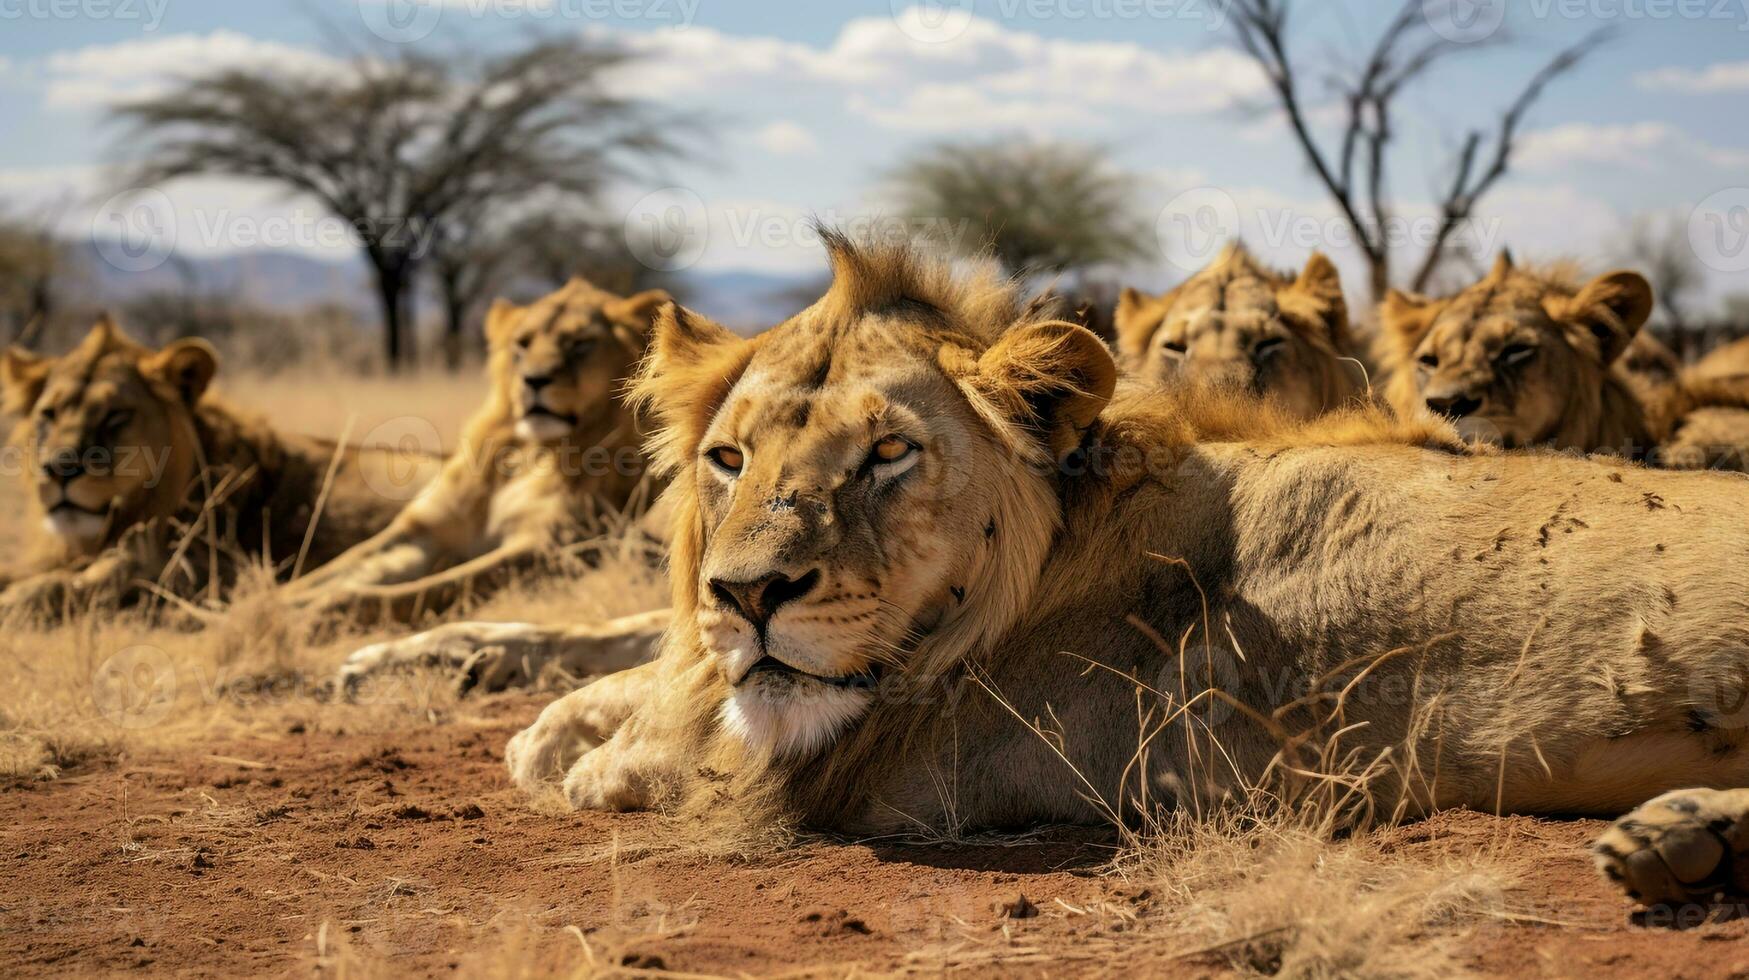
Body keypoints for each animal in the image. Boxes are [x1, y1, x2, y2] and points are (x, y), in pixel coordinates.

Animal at [3, 318, 440, 616]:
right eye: (49, 414)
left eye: (116, 416)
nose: (59, 468)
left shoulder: (230, 570)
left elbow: (71, 582)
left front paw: (18, 600)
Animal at [286, 280, 668, 623]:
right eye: (522, 345)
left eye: (580, 344)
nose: (533, 379)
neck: (530, 453)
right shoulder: (425, 529)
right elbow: (331, 572)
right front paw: (278, 604)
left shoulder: (552, 545)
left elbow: (423, 589)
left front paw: (313, 614)